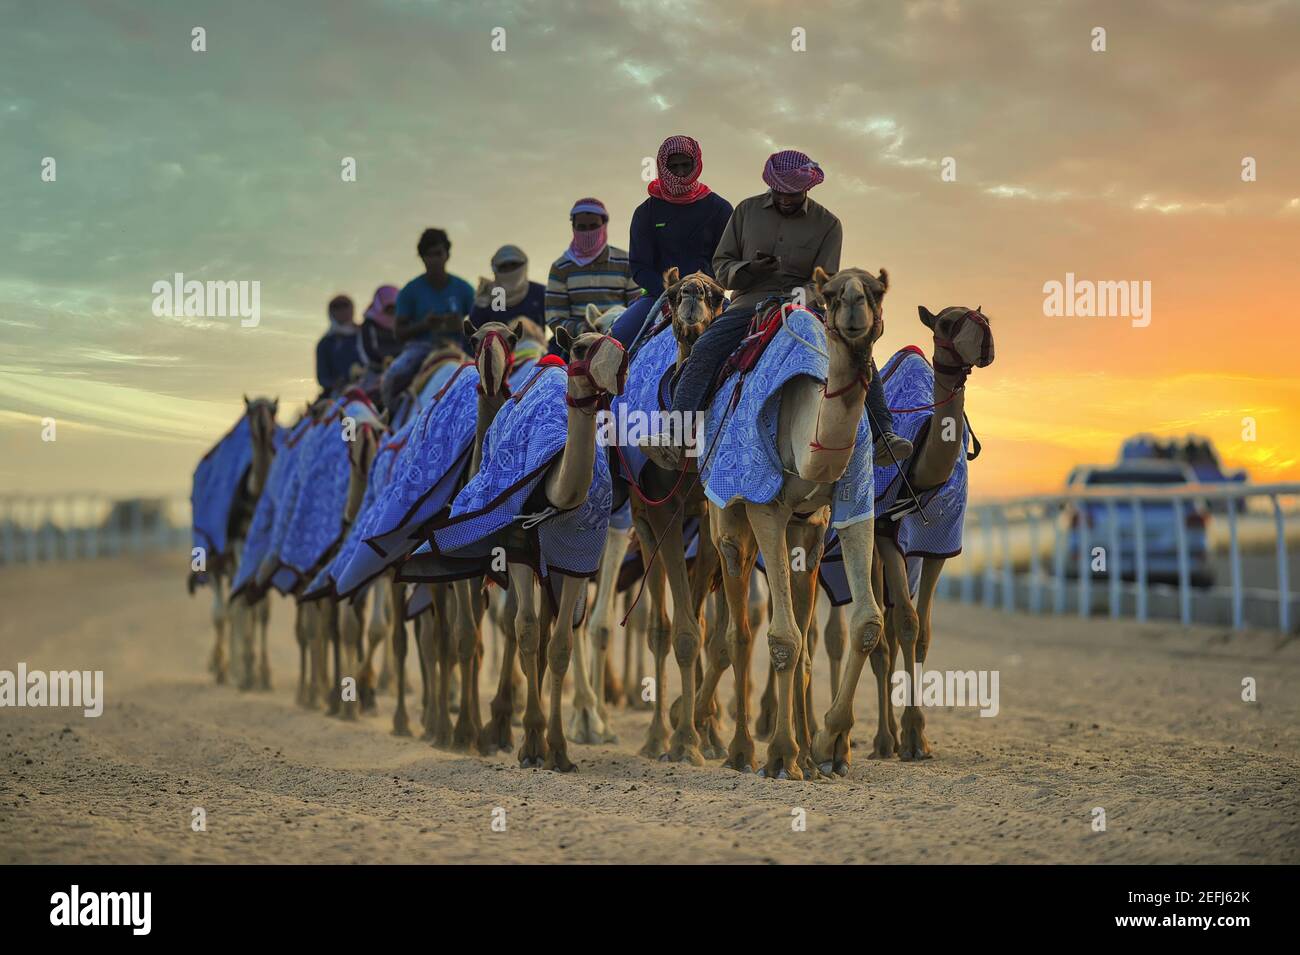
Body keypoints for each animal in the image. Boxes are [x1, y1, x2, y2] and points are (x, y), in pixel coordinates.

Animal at [707, 265, 889, 779]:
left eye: (876, 291)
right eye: (831, 294)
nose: (854, 308)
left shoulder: (847, 505)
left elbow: (866, 623)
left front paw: (827, 746)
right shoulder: (767, 508)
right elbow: (783, 638)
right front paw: (781, 755)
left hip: (803, 534)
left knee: (805, 631)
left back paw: (806, 752)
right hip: (728, 521)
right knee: (739, 632)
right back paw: (741, 750)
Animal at [821, 306, 993, 769]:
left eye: (984, 317)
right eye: (947, 324)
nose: (986, 339)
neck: (921, 472)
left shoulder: (937, 547)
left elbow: (923, 631)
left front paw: (918, 739)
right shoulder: (885, 536)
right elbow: (907, 624)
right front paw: (911, 738)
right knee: (876, 635)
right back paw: (877, 740)